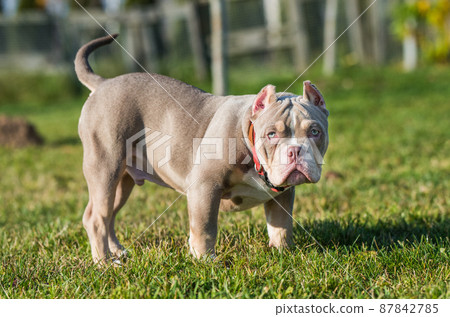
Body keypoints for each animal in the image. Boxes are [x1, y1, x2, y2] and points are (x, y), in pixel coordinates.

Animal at [74, 33, 328, 262]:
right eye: (272, 134)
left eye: (315, 132)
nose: (295, 151)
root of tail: (103, 84)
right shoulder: (205, 187)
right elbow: (205, 227)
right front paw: (205, 260)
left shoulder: (282, 196)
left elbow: (281, 226)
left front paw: (282, 252)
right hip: (106, 167)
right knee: (97, 218)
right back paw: (105, 262)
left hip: (121, 183)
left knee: (108, 215)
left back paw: (116, 251)